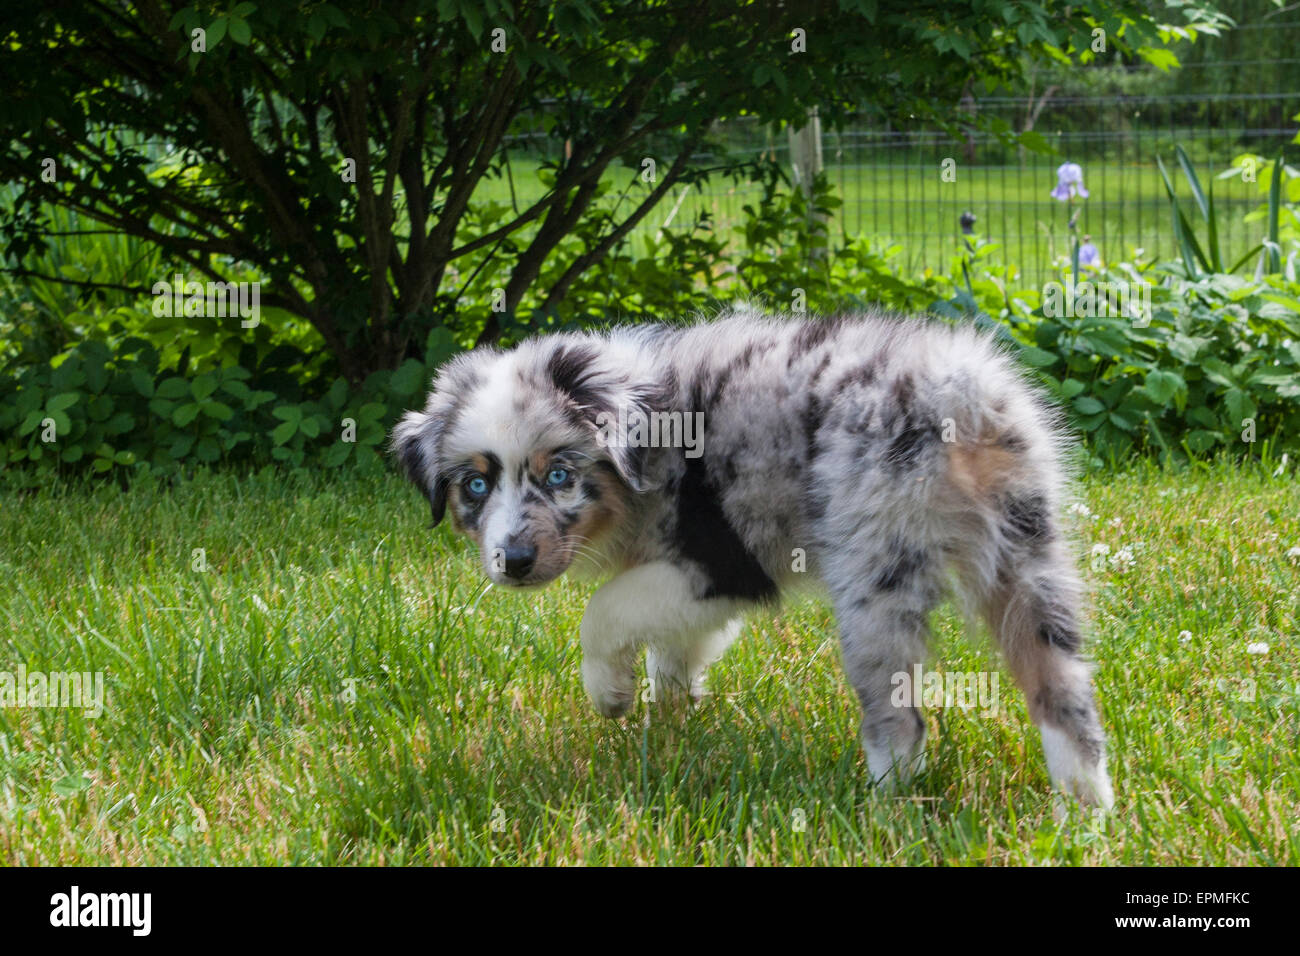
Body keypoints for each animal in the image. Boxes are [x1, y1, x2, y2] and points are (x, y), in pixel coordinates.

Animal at [390, 310, 1112, 811]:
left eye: (561, 476)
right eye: (474, 486)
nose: (512, 561)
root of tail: (957, 391)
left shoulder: (724, 564)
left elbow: (605, 610)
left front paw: (609, 693)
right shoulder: (702, 585)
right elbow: (671, 652)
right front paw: (670, 725)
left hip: (874, 571)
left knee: (899, 716)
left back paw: (883, 810)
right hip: (1028, 547)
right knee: (1063, 690)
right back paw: (1085, 815)